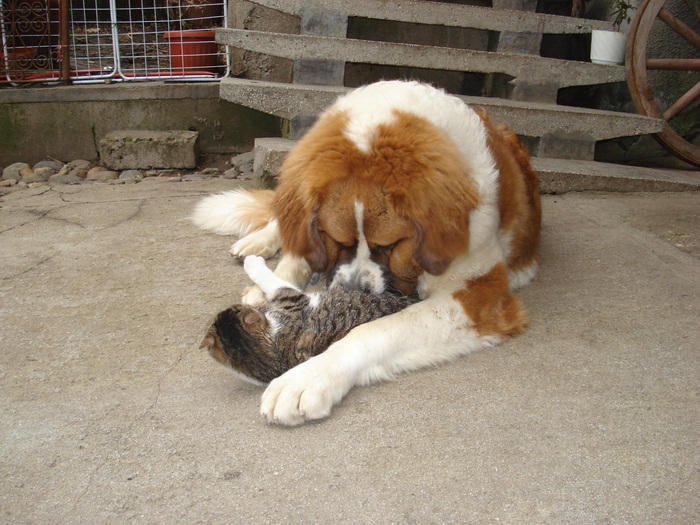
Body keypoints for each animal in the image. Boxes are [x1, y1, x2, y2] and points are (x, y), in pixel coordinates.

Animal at [191, 81, 540, 426]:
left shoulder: (479, 293)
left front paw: (306, 378)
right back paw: (257, 247)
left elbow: (373, 330)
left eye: (388, 245)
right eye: (336, 240)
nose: (353, 294)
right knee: (286, 219)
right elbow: (299, 256)